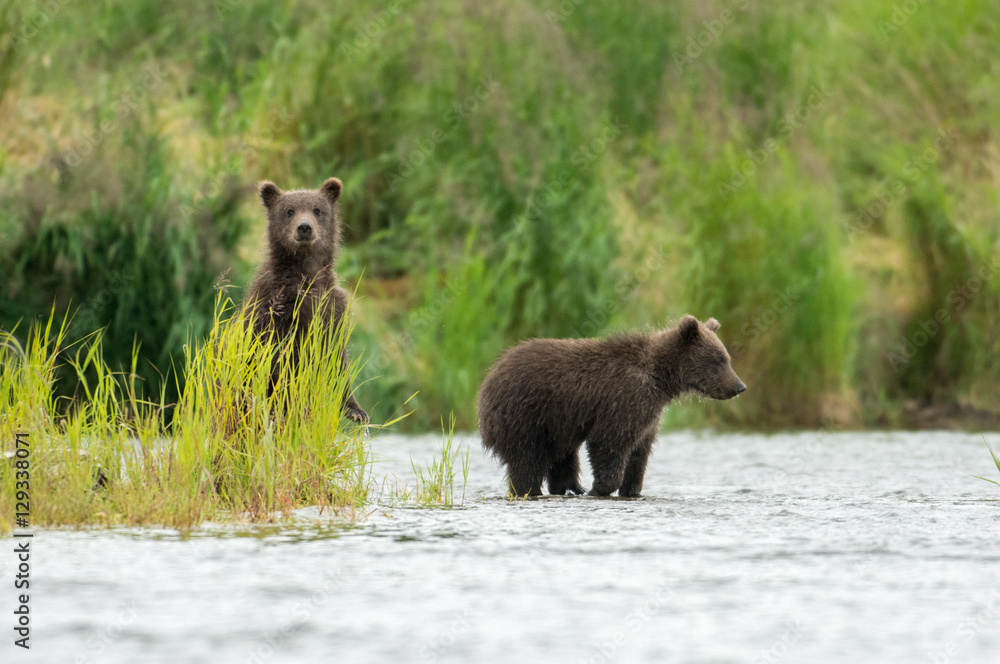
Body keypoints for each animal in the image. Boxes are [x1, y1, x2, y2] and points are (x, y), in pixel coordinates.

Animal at [243, 177, 369, 423]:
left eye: (317, 210)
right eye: (289, 211)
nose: (304, 227)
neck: (306, 274)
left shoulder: (333, 308)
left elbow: (337, 358)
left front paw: (356, 410)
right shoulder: (274, 307)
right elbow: (278, 360)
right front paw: (285, 408)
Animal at [477, 315, 745, 497]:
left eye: (727, 358)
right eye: (719, 360)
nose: (739, 386)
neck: (660, 379)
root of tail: (487, 380)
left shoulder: (649, 412)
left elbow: (640, 451)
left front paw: (631, 488)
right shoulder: (625, 398)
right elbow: (609, 442)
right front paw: (600, 488)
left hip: (555, 425)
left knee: (562, 457)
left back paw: (570, 487)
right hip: (524, 415)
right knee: (527, 460)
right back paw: (532, 489)